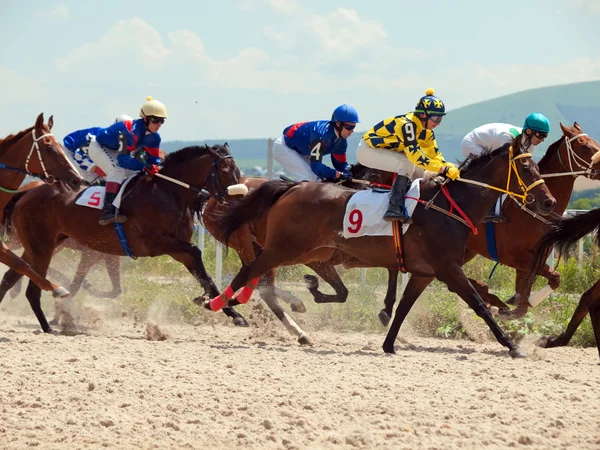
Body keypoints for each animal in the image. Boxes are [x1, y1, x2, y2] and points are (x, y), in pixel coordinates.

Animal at [0, 144, 248, 334]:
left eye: (237, 170)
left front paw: (232, 313)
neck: (168, 192)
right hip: (41, 245)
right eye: (226, 171)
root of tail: (26, 192)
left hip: (43, 244)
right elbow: (197, 253)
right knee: (30, 286)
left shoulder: (177, 250)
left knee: (13, 274)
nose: (241, 199)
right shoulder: (156, 244)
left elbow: (204, 275)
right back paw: (48, 324)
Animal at [210, 142, 552, 356]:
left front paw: (388, 344)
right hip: (285, 248)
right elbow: (479, 305)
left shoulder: (424, 273)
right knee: (250, 272)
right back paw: (218, 302)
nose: (548, 201)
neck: (448, 207)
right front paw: (512, 345)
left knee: (261, 277)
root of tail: (292, 187)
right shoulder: (448, 269)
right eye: (528, 169)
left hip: (304, 251)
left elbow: (402, 308)